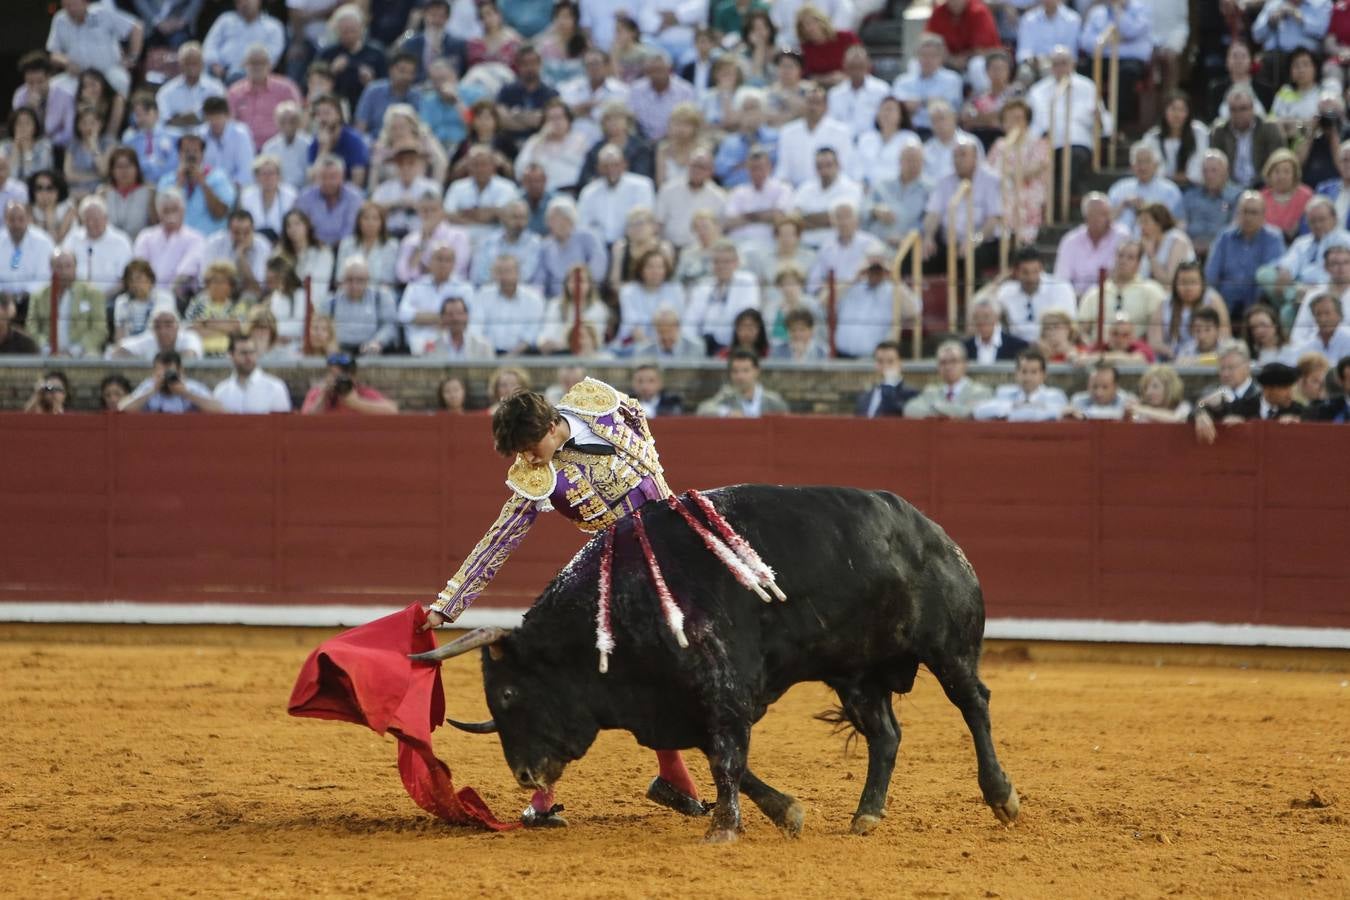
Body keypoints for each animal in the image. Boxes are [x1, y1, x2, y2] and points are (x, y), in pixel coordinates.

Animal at [415, 485, 1015, 847]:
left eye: (508, 696)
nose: (523, 776)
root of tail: (936, 533)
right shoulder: (683, 704)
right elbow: (725, 760)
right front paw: (786, 813)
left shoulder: (722, 689)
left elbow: (727, 757)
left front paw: (724, 830)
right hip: (857, 673)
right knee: (885, 734)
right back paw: (865, 816)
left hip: (949, 648)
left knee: (974, 705)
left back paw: (1002, 797)